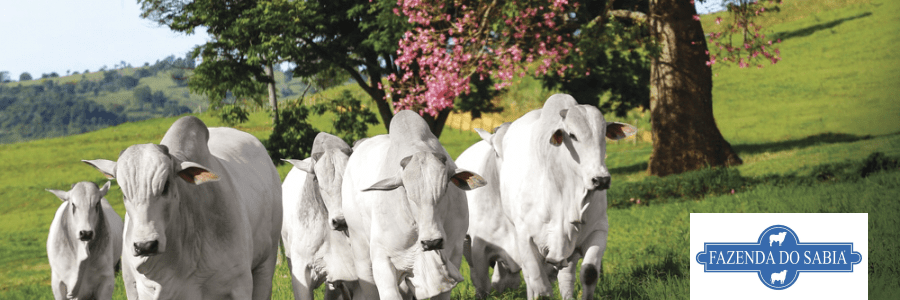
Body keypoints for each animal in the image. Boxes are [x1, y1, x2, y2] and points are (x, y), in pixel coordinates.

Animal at [84, 116, 284, 298]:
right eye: (123, 192)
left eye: (166, 185)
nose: (145, 246)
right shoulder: (138, 288)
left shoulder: (240, 284)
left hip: (266, 263)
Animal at [342, 110, 486, 300]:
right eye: (407, 193)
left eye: (445, 188)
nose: (432, 242)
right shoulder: (382, 261)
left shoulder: (453, 257)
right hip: (360, 249)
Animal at [472, 95, 632, 298]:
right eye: (572, 135)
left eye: (603, 134)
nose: (601, 179)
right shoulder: (524, 238)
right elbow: (540, 287)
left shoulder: (599, 230)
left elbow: (589, 272)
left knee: (566, 278)